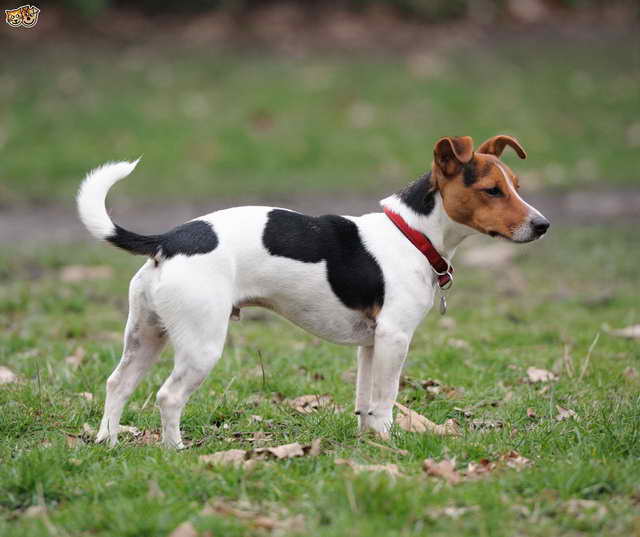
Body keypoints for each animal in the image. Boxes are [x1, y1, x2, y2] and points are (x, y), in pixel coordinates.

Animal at [77, 135, 552, 448]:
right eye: (491, 190)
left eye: (517, 186)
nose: (543, 225)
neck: (412, 233)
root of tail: (167, 239)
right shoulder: (395, 338)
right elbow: (386, 400)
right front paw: (388, 444)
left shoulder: (371, 344)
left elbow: (365, 401)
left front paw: (367, 444)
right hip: (201, 345)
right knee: (168, 396)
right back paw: (175, 451)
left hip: (146, 335)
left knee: (117, 384)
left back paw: (107, 442)